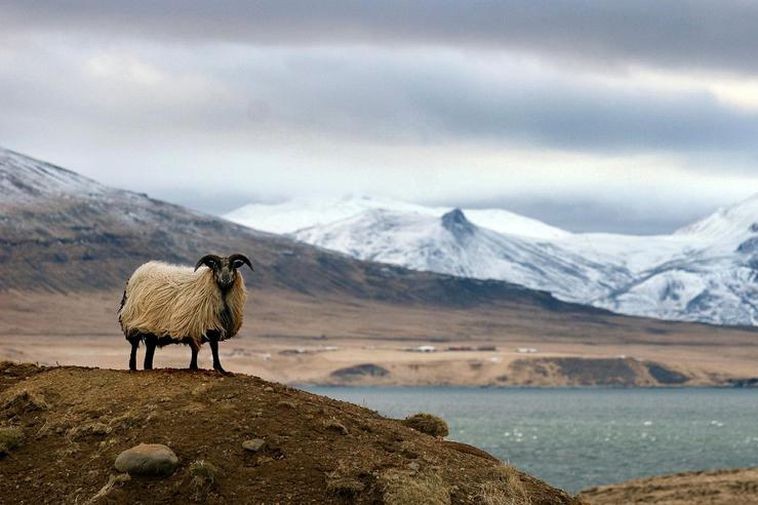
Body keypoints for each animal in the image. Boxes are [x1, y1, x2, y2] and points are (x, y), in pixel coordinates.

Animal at [119, 254, 254, 372]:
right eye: (215, 266)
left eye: (233, 266)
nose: (225, 280)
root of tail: (135, 275)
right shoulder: (199, 325)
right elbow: (208, 347)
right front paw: (208, 367)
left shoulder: (207, 326)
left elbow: (207, 348)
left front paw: (205, 367)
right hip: (133, 320)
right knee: (134, 345)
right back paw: (132, 367)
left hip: (152, 327)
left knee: (149, 350)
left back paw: (148, 368)